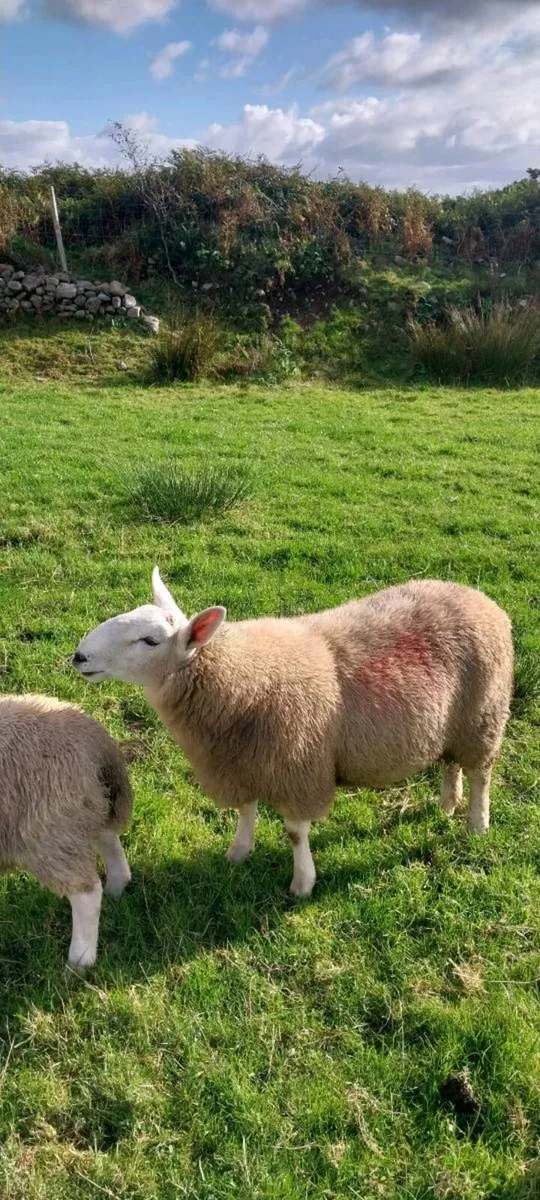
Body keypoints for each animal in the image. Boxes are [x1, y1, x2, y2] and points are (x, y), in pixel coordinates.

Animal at [0, 694, 132, 967]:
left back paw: (79, 962)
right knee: (107, 838)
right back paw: (117, 888)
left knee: (87, 893)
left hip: (49, 831)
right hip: (84, 807)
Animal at [72, 568, 513, 897]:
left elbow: (295, 833)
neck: (237, 676)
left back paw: (476, 824)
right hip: (452, 724)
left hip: (484, 716)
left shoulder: (298, 767)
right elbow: (246, 810)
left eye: (150, 641)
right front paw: (238, 852)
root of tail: (479, 598)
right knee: (451, 763)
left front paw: (302, 883)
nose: (79, 656)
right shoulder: (238, 762)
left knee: (481, 774)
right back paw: (448, 804)